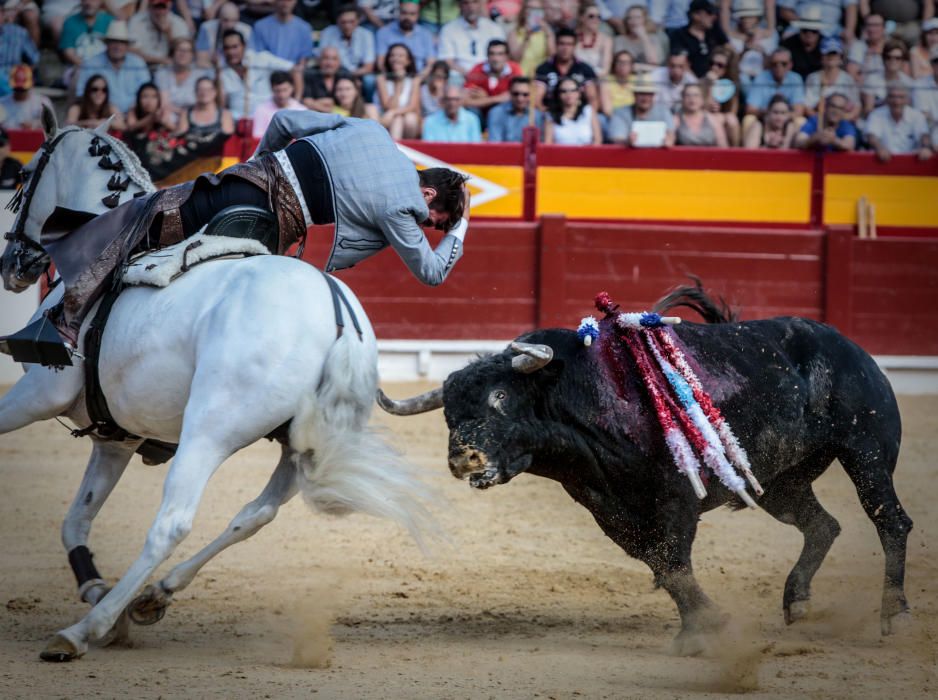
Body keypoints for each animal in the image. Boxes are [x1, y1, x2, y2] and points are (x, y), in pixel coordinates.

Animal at [0, 109, 432, 660]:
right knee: (256, 513)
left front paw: (96, 604)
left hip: (210, 429)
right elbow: (77, 517)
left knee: (173, 522)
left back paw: (87, 629)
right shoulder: (115, 436)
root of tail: (338, 316)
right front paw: (94, 585)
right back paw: (149, 598)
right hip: (302, 444)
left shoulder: (37, 395)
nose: (14, 265)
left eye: (22, 175)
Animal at [378, 288, 908, 648]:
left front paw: (702, 631)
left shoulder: (677, 495)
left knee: (890, 520)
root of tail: (850, 348)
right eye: (448, 415)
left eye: (502, 396)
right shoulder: (610, 510)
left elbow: (673, 563)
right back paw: (797, 602)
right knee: (823, 525)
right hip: (779, 482)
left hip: (866, 452)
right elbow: (664, 567)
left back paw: (895, 615)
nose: (461, 457)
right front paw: (704, 623)